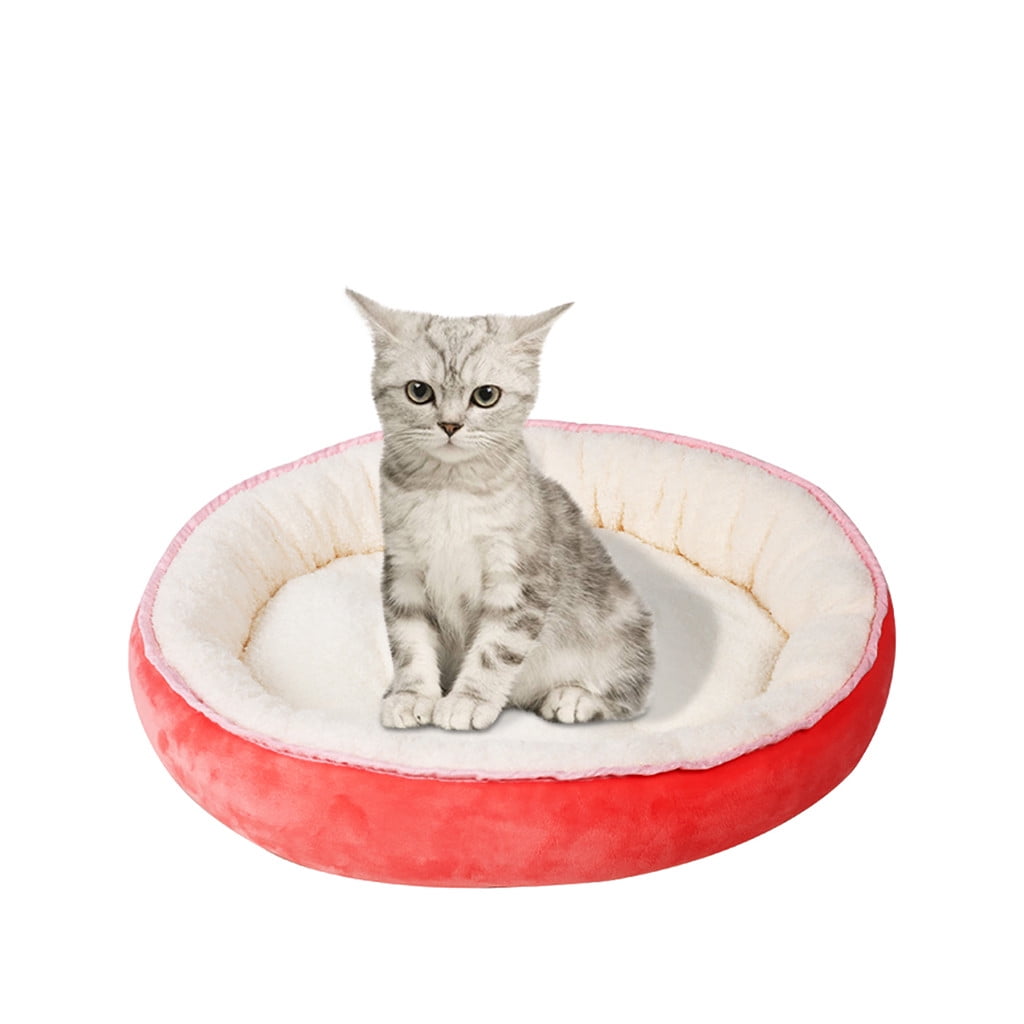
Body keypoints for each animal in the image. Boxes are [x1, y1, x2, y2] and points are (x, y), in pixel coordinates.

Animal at [348, 290, 654, 731]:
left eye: (486, 395)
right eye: (419, 391)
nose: (450, 425)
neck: (451, 489)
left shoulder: (521, 580)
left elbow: (495, 649)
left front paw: (469, 699)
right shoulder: (403, 568)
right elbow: (408, 640)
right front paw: (410, 694)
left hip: (623, 629)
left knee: (632, 698)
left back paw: (574, 697)